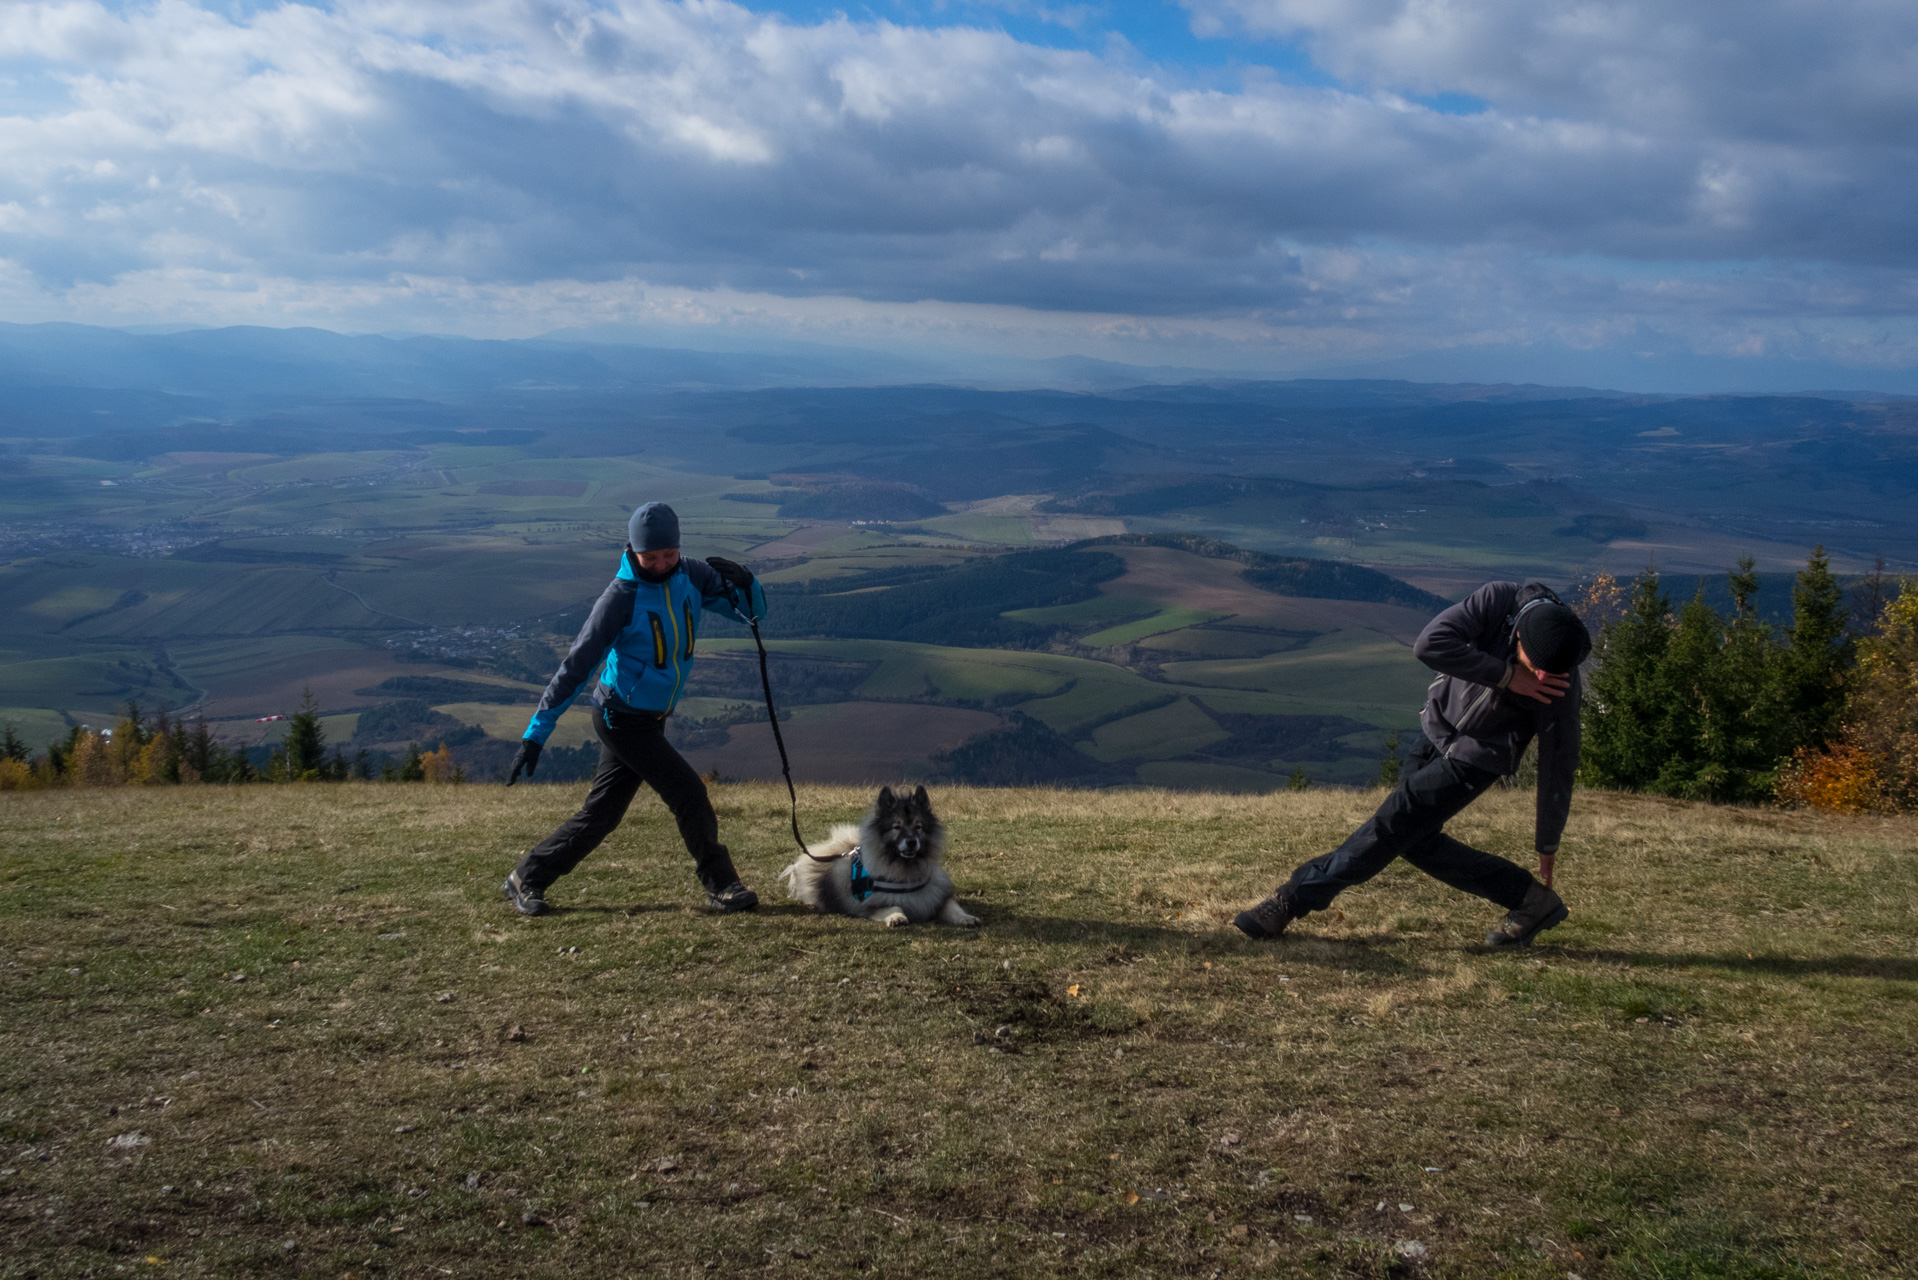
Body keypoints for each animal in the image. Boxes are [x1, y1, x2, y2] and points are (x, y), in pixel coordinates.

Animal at [778, 786, 982, 924]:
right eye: (897, 827)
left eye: (918, 826)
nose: (911, 842)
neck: (905, 871)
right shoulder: (867, 905)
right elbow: (893, 905)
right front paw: (897, 917)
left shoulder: (935, 897)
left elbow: (952, 906)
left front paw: (967, 918)